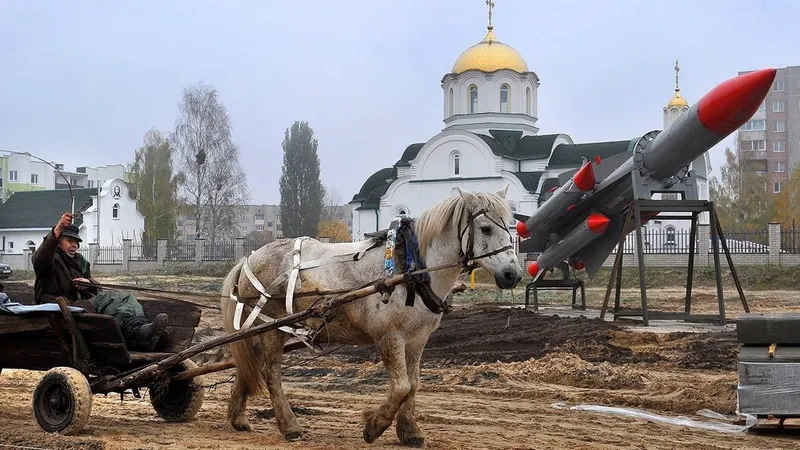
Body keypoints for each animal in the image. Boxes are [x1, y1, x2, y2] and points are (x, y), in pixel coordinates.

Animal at [219, 186, 520, 446]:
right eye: (486, 228)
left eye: (511, 227)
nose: (512, 275)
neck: (410, 268)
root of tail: (250, 257)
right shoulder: (390, 337)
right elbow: (401, 386)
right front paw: (374, 426)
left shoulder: (417, 339)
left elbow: (414, 385)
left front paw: (410, 431)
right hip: (273, 327)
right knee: (270, 371)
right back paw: (289, 425)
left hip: (262, 326)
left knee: (249, 364)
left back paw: (237, 416)